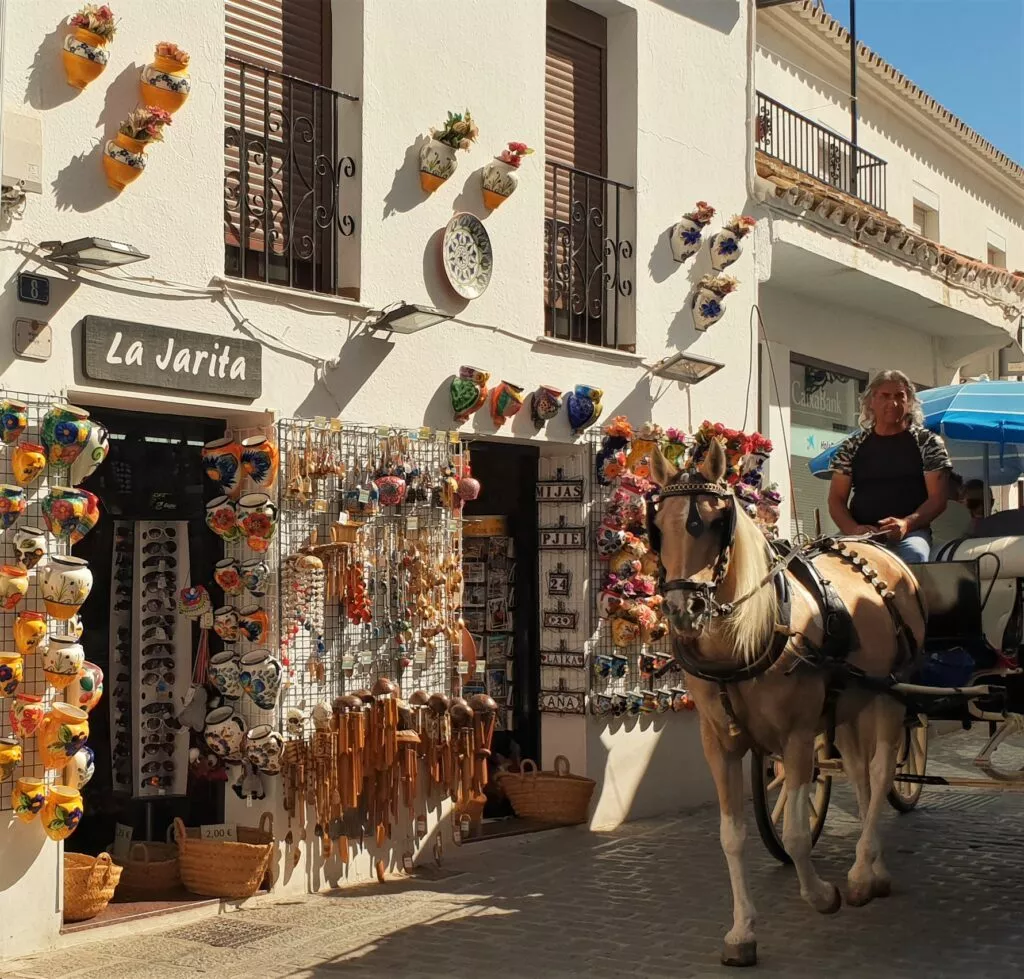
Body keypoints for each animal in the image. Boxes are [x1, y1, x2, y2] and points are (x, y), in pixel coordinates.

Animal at [651, 442, 925, 962]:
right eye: (657, 526)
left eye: (715, 522)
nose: (682, 611)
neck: (751, 635)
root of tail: (875, 546)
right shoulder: (719, 744)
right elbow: (731, 836)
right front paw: (742, 931)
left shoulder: (797, 737)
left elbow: (797, 832)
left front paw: (821, 895)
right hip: (848, 706)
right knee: (860, 773)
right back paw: (873, 865)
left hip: (891, 696)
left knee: (882, 771)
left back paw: (862, 872)